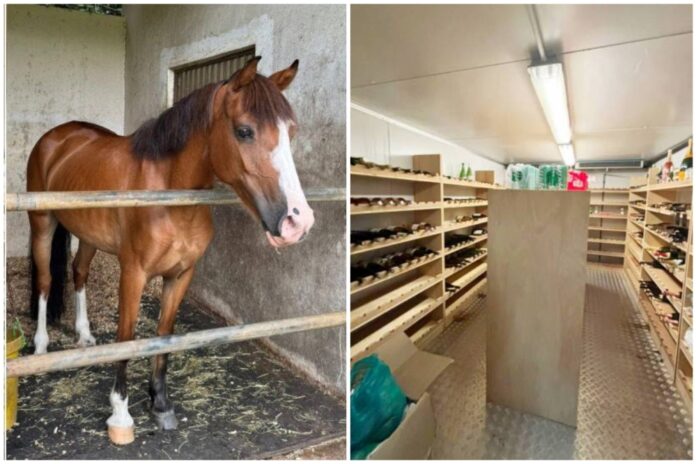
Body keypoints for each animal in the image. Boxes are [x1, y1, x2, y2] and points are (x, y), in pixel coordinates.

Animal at [25, 56, 314, 445]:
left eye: (291, 132)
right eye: (244, 131)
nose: (297, 222)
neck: (169, 194)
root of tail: (57, 137)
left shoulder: (181, 275)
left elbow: (162, 335)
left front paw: (160, 404)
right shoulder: (133, 274)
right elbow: (128, 338)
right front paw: (120, 414)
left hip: (87, 235)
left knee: (79, 272)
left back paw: (84, 336)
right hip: (42, 223)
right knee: (44, 281)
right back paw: (41, 348)